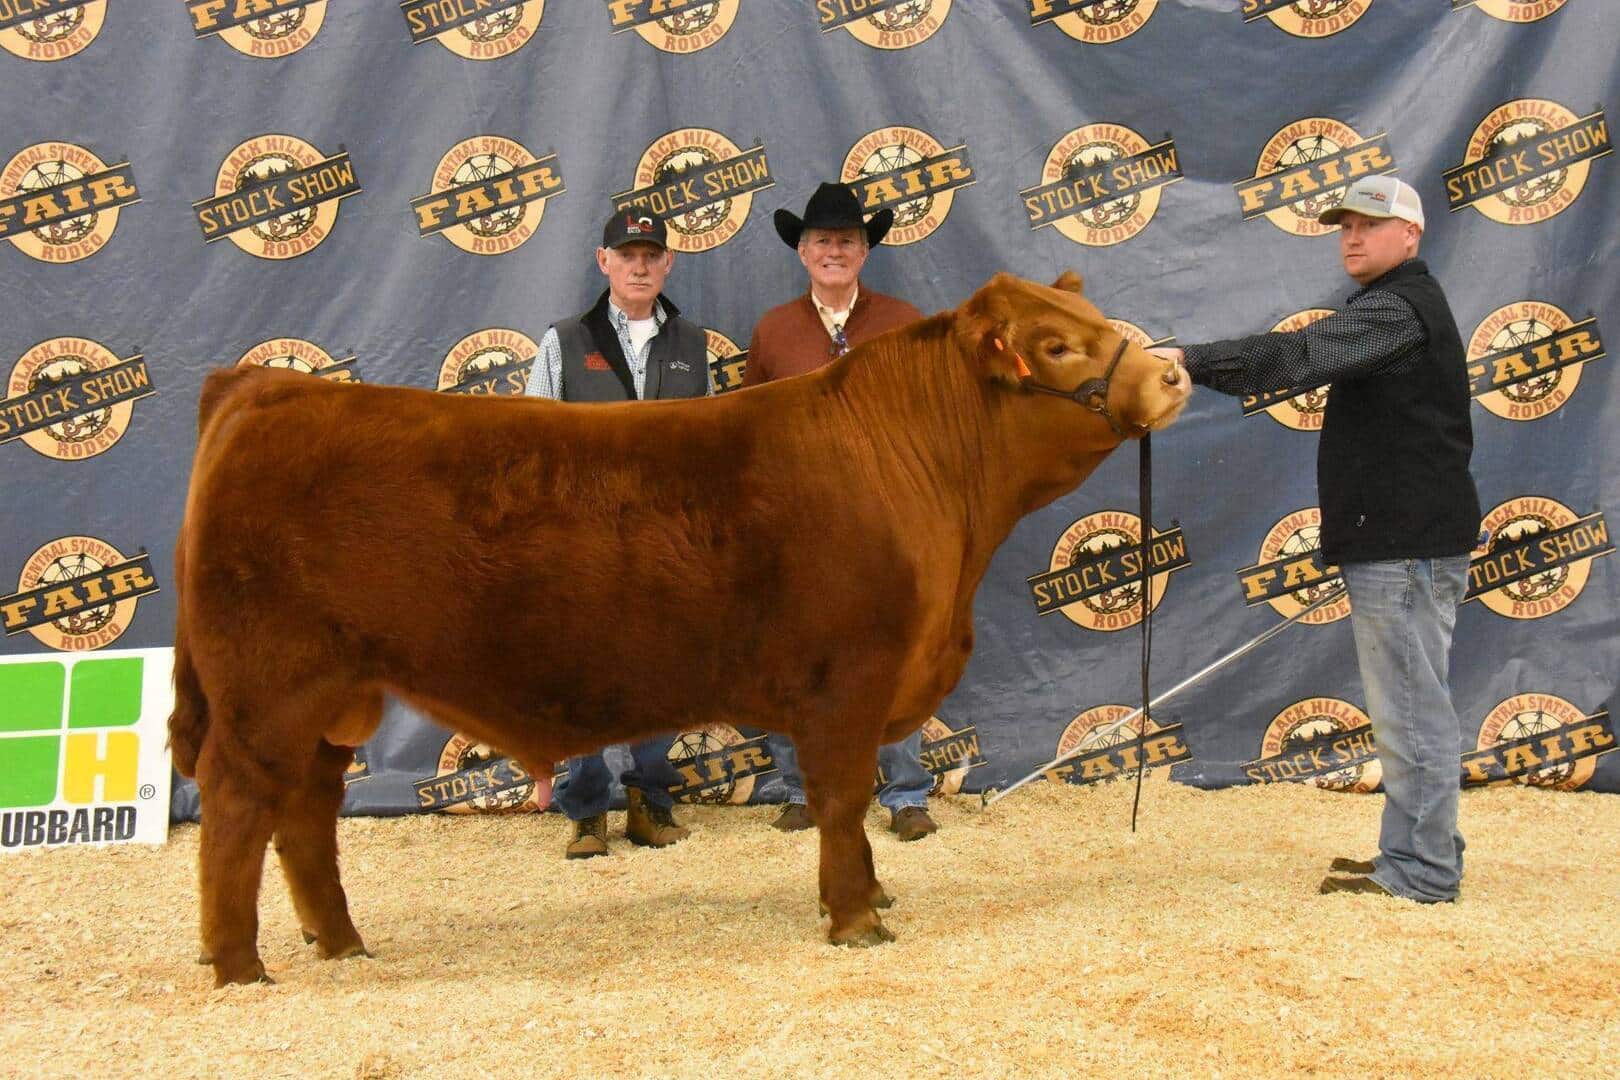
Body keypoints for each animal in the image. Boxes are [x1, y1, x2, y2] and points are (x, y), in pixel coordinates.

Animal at [169, 271, 1189, 986]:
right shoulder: (850, 681)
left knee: (306, 811)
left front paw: (869, 892)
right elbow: (843, 800)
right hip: (268, 686)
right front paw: (857, 917)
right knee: (237, 805)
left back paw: (339, 942)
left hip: (334, 694)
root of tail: (261, 390)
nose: (1172, 371)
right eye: (1056, 345)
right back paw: (238, 964)